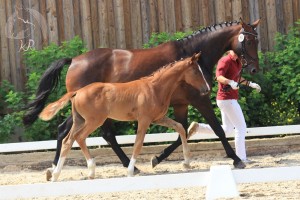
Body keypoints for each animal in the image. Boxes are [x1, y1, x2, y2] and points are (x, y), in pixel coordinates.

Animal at [39, 52, 209, 180]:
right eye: (196, 71)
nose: (207, 89)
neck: (155, 88)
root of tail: (77, 92)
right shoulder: (144, 120)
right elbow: (138, 143)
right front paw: (131, 170)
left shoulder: (158, 118)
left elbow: (180, 128)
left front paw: (187, 162)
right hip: (94, 121)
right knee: (79, 137)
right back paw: (90, 170)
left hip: (80, 120)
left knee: (68, 140)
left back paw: (56, 174)